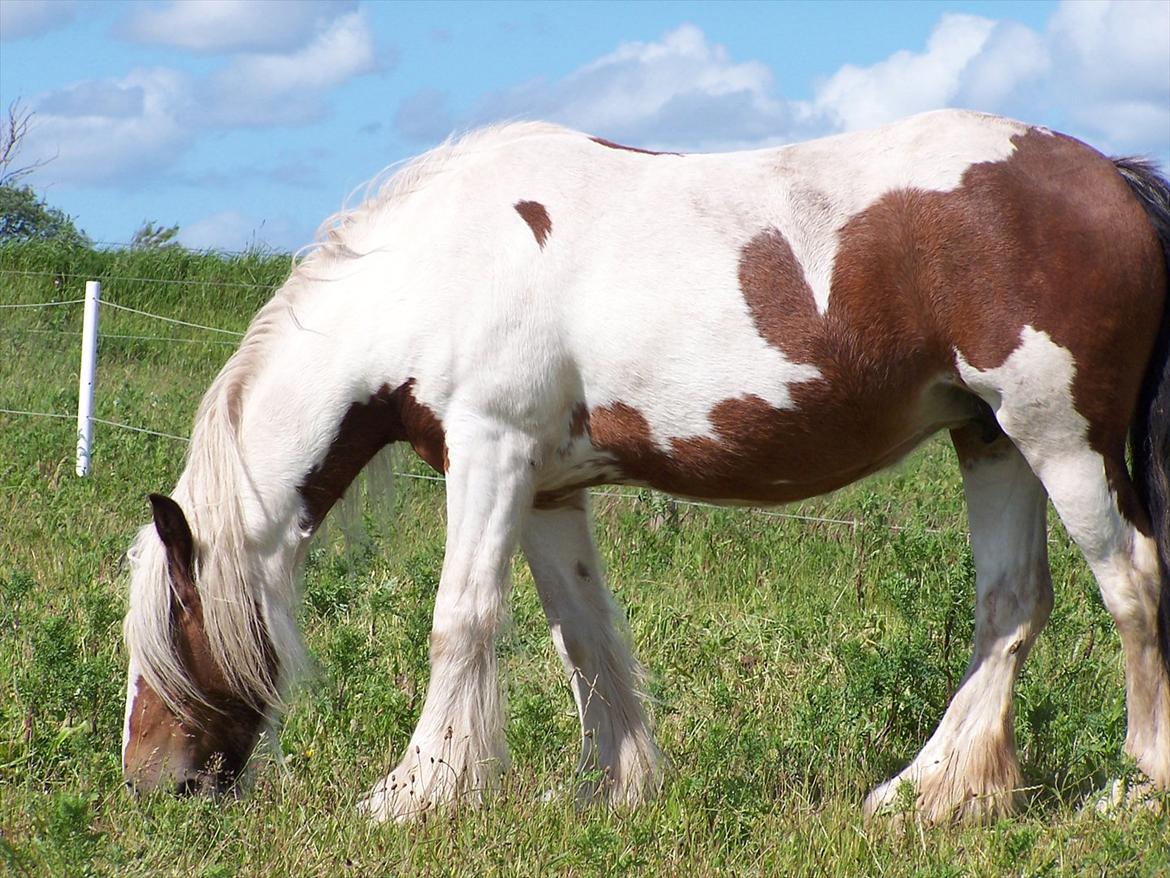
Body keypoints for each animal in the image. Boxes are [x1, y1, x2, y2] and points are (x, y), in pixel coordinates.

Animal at [121, 108, 1170, 824]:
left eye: (170, 631)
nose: (150, 786)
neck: (438, 268)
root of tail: (1108, 177)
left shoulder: (490, 454)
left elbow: (460, 621)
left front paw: (415, 793)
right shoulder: (547, 490)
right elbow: (582, 640)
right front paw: (604, 790)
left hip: (1061, 438)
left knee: (1132, 588)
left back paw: (1135, 787)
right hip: (991, 440)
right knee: (1012, 605)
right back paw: (931, 792)